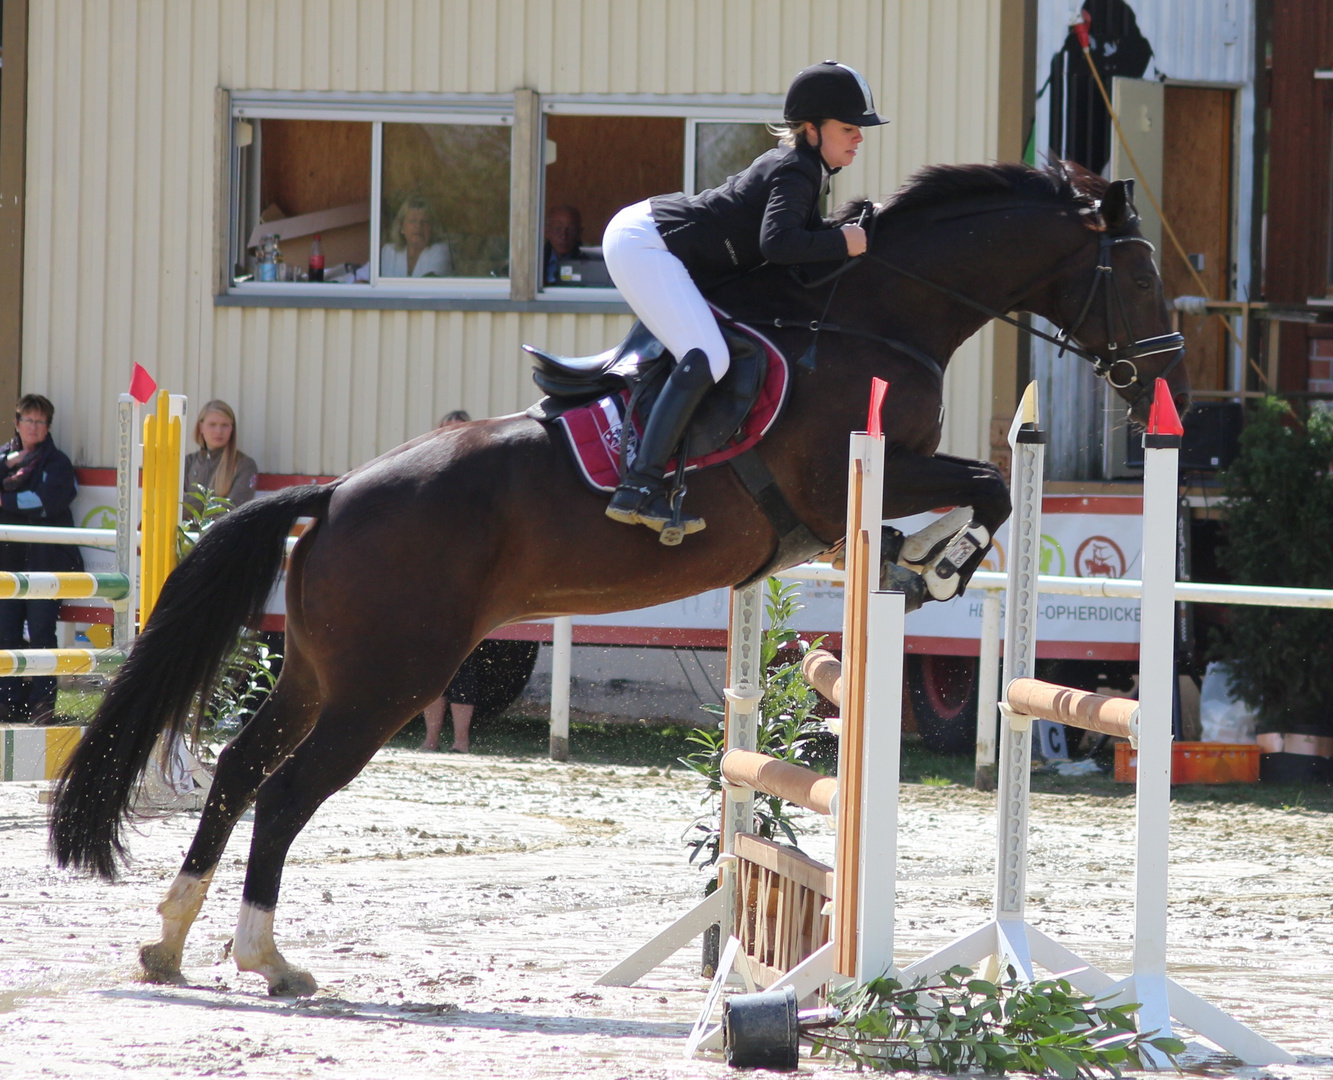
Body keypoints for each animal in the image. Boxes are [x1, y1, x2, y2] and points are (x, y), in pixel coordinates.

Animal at [49, 158, 1189, 992]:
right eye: (1137, 275)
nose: (1162, 385)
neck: (878, 311)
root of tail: (332, 496)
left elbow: (978, 491)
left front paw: (920, 558)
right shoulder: (845, 479)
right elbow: (988, 484)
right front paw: (936, 561)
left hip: (322, 670)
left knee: (242, 769)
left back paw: (169, 941)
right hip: (387, 681)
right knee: (284, 794)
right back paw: (265, 959)